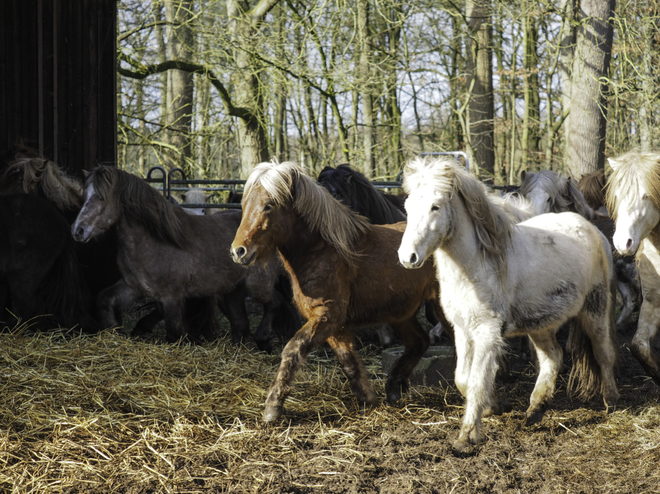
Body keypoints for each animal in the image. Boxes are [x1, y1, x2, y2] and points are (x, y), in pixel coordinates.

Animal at [71, 164, 296, 346]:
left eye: (101, 197)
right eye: (84, 197)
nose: (77, 230)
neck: (154, 240)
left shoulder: (171, 297)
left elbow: (174, 333)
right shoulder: (133, 286)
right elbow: (104, 300)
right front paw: (115, 330)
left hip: (257, 285)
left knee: (276, 302)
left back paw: (263, 337)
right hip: (233, 292)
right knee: (241, 324)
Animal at [229, 160, 446, 422]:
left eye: (268, 205)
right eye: (244, 205)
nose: (238, 251)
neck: (323, 250)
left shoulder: (328, 315)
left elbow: (293, 350)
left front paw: (272, 408)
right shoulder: (334, 324)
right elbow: (349, 362)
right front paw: (368, 401)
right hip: (400, 312)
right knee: (419, 342)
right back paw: (394, 388)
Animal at [398, 157, 620, 452]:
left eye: (435, 206)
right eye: (408, 207)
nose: (407, 257)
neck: (477, 264)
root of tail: (590, 228)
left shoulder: (487, 332)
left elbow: (477, 380)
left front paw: (466, 437)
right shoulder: (461, 330)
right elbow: (462, 379)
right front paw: (495, 407)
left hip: (595, 309)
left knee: (603, 351)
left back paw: (611, 401)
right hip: (540, 323)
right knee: (553, 357)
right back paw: (536, 409)